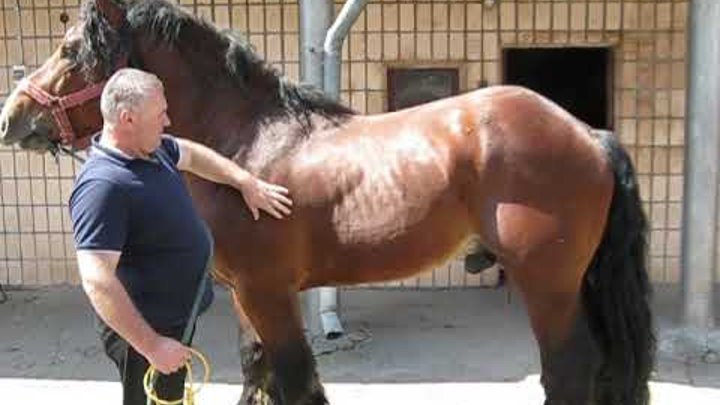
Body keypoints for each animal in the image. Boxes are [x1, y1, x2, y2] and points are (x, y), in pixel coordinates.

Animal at [0, 1, 654, 404]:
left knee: (569, 371)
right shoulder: (247, 297)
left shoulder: (267, 292)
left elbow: (293, 380)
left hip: (548, 283)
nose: (13, 118)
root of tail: (587, 133)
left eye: (71, 49)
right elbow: (257, 374)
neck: (251, 143)